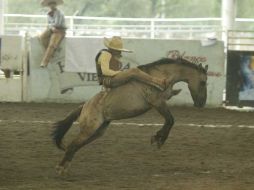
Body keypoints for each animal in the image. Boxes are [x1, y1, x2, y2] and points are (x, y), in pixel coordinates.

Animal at [52, 58, 208, 175]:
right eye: (203, 82)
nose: (202, 103)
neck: (161, 74)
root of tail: (84, 106)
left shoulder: (161, 102)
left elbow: (169, 120)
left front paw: (158, 138)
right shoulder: (157, 102)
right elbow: (170, 120)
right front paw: (158, 139)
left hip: (98, 131)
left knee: (75, 146)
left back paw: (64, 167)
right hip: (89, 129)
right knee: (73, 145)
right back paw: (60, 168)